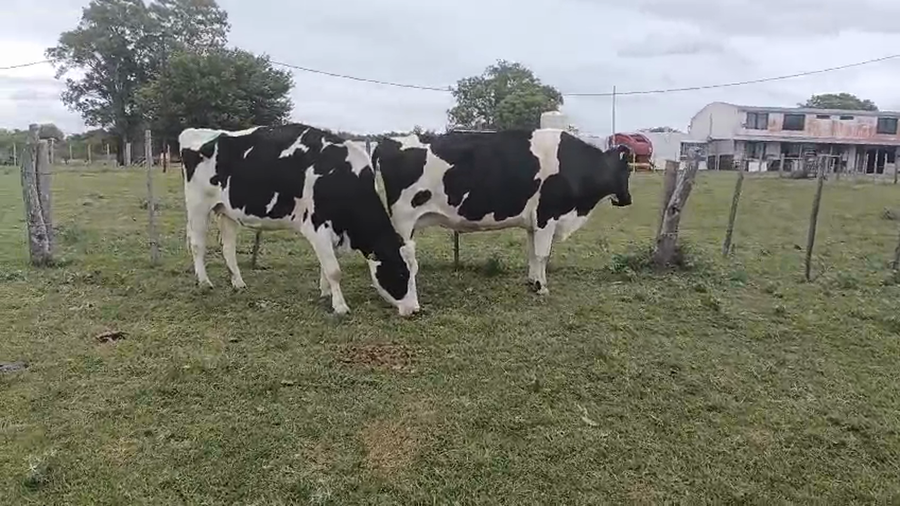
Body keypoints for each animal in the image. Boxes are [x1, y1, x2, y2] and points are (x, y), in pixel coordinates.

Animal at [178, 123, 420, 316]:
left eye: (414, 272)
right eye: (401, 272)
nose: (415, 309)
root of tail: (196, 132)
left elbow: (326, 267)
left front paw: (325, 293)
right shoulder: (316, 226)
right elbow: (334, 270)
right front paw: (340, 306)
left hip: (227, 211)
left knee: (228, 247)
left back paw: (238, 283)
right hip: (198, 205)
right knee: (198, 244)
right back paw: (204, 282)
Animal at [371, 128, 633, 295]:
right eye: (627, 169)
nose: (627, 200)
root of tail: (388, 141)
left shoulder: (534, 222)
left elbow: (532, 254)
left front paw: (533, 281)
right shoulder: (547, 217)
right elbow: (542, 255)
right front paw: (542, 288)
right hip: (403, 219)